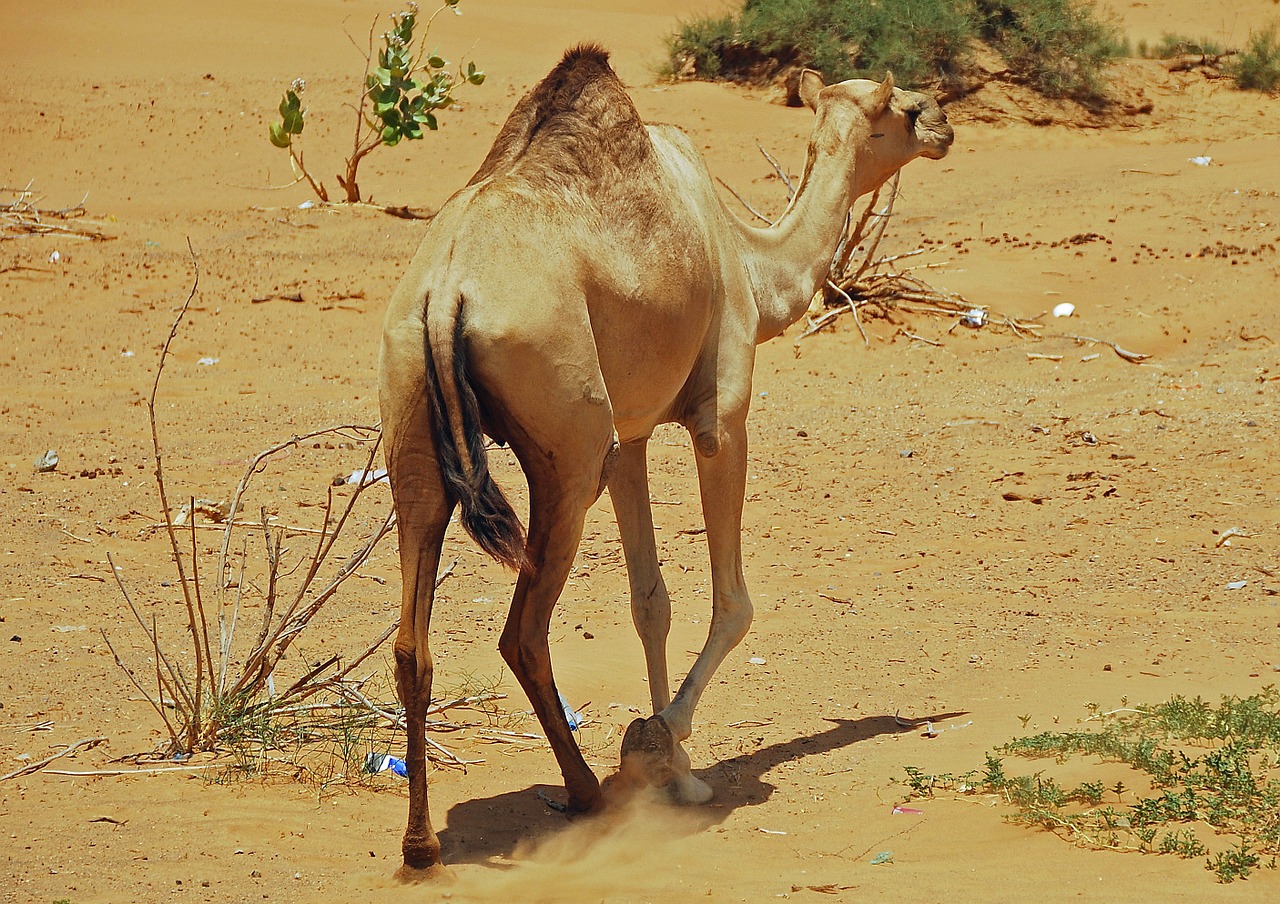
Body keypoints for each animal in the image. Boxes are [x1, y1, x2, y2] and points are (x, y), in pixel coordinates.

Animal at [378, 44, 952, 870]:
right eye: (906, 108)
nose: (945, 122)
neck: (752, 264)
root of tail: (446, 293)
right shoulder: (720, 415)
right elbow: (733, 602)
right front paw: (664, 747)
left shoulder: (637, 431)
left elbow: (650, 599)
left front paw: (669, 763)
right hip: (570, 445)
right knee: (523, 631)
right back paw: (585, 792)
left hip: (415, 425)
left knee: (411, 642)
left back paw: (422, 843)